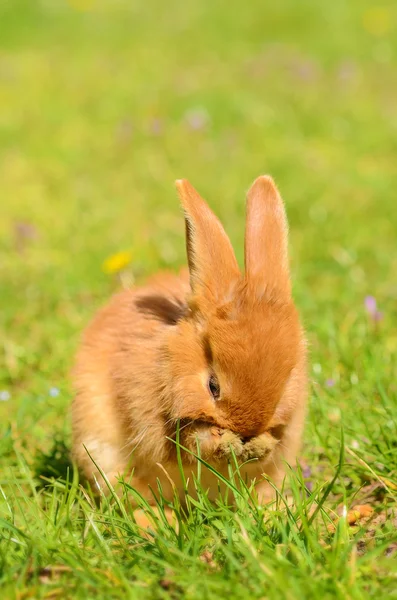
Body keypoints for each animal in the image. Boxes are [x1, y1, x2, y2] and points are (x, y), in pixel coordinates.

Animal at [71, 173, 306, 516]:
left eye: (285, 382)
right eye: (213, 386)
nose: (247, 430)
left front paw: (260, 445)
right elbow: (188, 445)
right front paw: (225, 444)